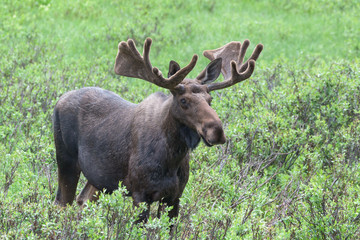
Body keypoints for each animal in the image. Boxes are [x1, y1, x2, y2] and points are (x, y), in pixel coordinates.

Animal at [52, 37, 262, 223]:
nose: (216, 131)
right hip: (66, 161)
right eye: (183, 100)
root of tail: (59, 100)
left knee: (83, 200)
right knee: (61, 203)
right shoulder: (140, 194)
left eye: (210, 100)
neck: (172, 158)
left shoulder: (174, 197)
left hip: (99, 179)